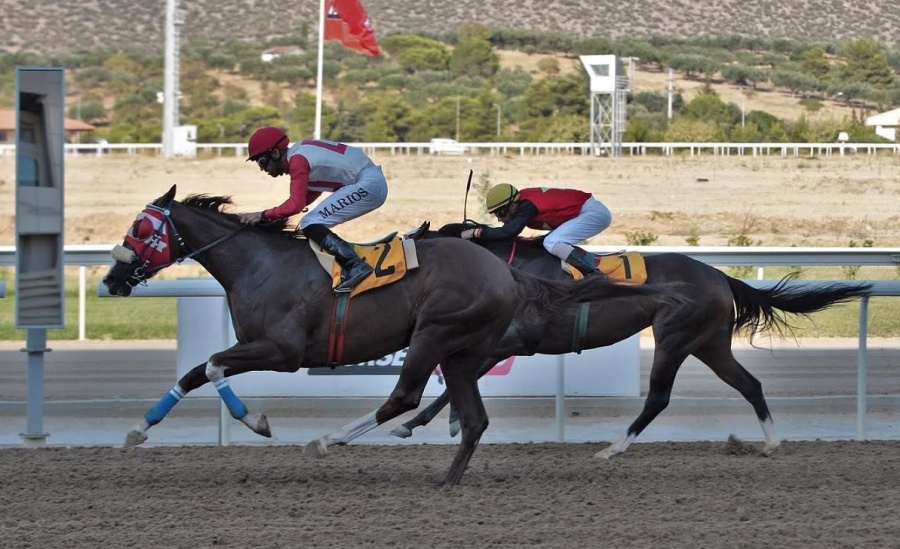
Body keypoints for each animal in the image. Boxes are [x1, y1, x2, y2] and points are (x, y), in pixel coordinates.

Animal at [103, 187, 668, 484]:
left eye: (140, 229)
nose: (110, 280)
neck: (259, 264)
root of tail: (505, 271)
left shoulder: (282, 350)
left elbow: (215, 365)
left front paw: (256, 421)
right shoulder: (259, 346)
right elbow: (195, 371)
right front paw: (138, 430)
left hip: (434, 333)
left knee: (404, 396)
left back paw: (326, 441)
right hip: (463, 351)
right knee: (474, 417)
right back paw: (447, 479)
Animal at [312, 223, 872, 458]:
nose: (375, 270)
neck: (508, 267)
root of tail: (718, 274)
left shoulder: (509, 339)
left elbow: (454, 380)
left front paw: (422, 422)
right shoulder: (503, 342)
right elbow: (455, 382)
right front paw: (430, 423)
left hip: (675, 337)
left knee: (659, 397)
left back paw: (613, 448)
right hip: (710, 342)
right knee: (750, 384)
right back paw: (772, 442)